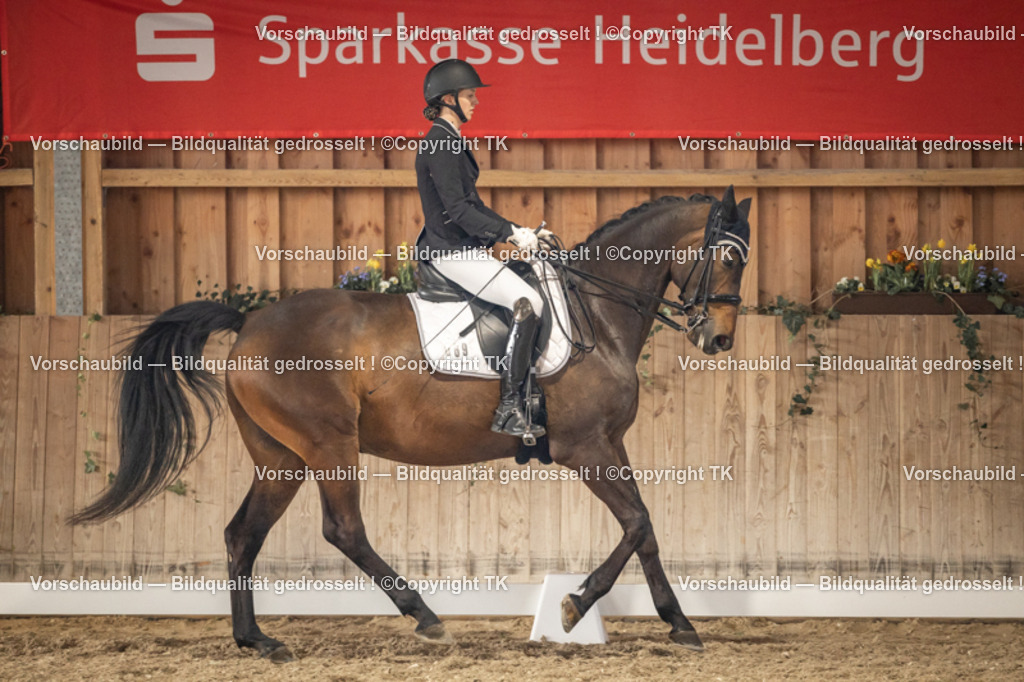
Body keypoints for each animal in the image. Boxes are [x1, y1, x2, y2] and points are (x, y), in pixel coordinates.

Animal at [71, 186, 752, 661]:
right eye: (726, 257)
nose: (718, 338)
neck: (597, 313)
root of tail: (249, 320)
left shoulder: (610, 443)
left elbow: (647, 529)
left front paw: (679, 624)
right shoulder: (584, 446)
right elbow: (636, 522)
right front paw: (572, 606)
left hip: (281, 456)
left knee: (243, 534)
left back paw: (257, 641)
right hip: (328, 444)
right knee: (342, 529)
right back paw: (424, 616)